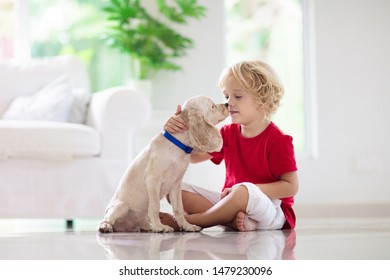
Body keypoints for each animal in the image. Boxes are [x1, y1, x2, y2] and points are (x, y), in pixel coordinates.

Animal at [97, 95, 229, 233]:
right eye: (212, 106)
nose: (227, 104)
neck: (178, 146)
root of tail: (124, 227)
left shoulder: (176, 184)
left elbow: (179, 208)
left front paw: (187, 226)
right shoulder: (153, 180)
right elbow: (155, 206)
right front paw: (159, 227)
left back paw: (148, 227)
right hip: (120, 207)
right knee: (106, 219)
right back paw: (106, 226)